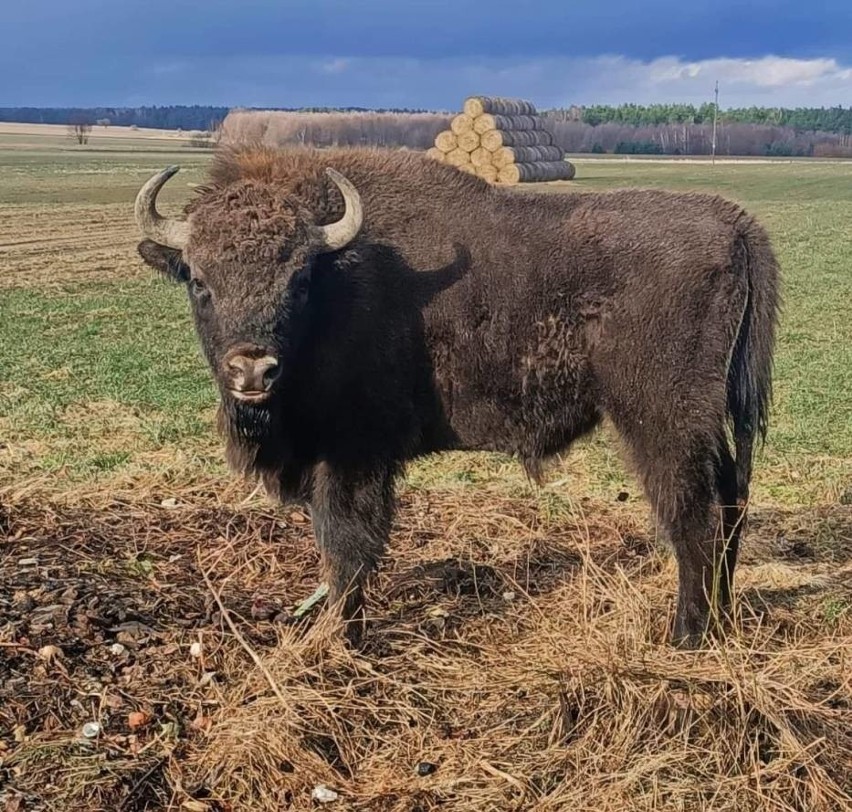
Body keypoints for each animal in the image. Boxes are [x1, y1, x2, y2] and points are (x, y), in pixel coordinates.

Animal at [131, 146, 780, 652]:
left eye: (300, 279)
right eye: (198, 279)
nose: (253, 369)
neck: (342, 272)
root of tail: (734, 222)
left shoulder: (354, 456)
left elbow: (347, 546)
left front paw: (345, 638)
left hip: (662, 421)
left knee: (692, 513)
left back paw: (687, 635)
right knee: (730, 501)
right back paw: (721, 619)